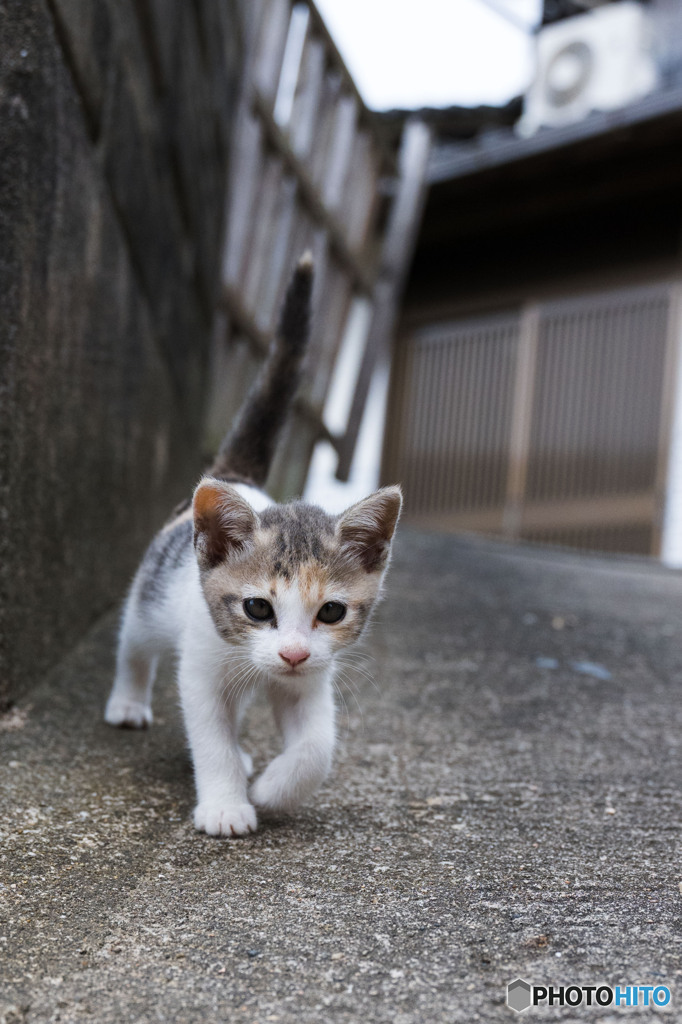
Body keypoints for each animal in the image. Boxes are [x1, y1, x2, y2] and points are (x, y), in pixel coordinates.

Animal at [106, 251, 401, 835]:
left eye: (331, 612)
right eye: (258, 608)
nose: (291, 653)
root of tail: (231, 475)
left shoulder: (313, 677)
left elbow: (317, 747)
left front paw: (271, 787)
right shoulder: (201, 665)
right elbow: (209, 734)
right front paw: (226, 805)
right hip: (152, 599)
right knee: (134, 642)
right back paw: (127, 702)